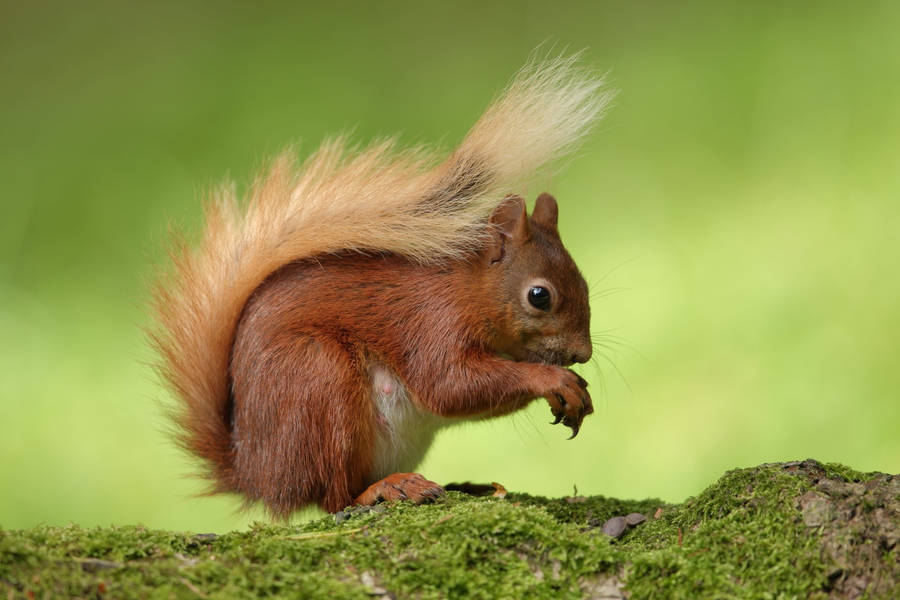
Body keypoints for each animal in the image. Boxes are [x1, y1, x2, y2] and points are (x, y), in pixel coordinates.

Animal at [153, 55, 612, 516]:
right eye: (539, 296)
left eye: (584, 282)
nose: (583, 354)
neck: (468, 291)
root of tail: (256, 474)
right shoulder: (431, 324)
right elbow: (449, 385)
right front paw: (553, 380)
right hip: (318, 381)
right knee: (334, 496)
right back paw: (384, 489)